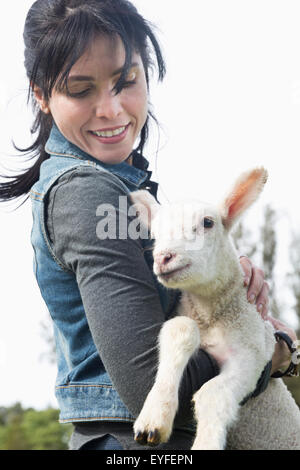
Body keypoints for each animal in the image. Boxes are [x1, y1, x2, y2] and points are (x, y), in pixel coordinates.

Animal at [130, 169, 300, 452]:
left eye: (208, 223)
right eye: (155, 231)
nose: (164, 257)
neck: (210, 314)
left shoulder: (252, 354)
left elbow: (212, 394)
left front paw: (206, 441)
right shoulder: (186, 316)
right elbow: (179, 327)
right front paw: (154, 418)